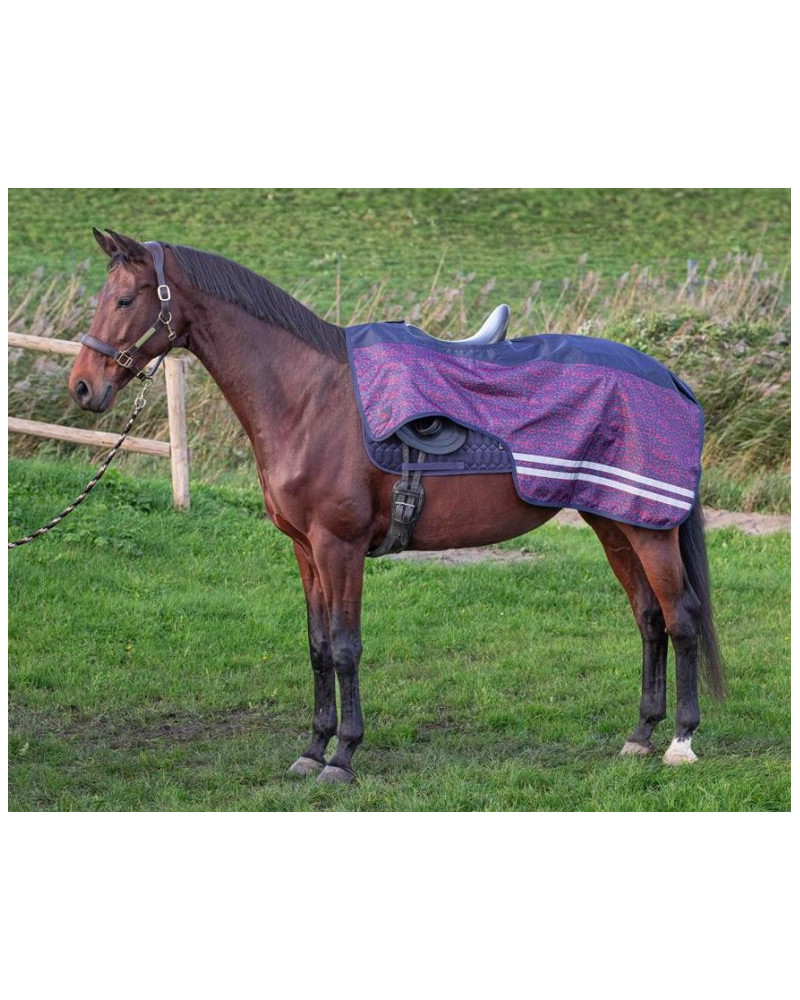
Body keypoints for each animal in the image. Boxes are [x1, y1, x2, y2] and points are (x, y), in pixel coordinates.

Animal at [68, 229, 725, 784]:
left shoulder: (340, 547)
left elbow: (345, 648)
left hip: (648, 529)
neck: (309, 399)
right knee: (649, 618)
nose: (82, 386)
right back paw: (640, 735)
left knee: (681, 617)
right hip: (614, 521)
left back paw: (681, 742)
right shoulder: (306, 551)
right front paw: (312, 750)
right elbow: (317, 648)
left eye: (124, 299)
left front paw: (343, 757)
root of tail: (668, 377)